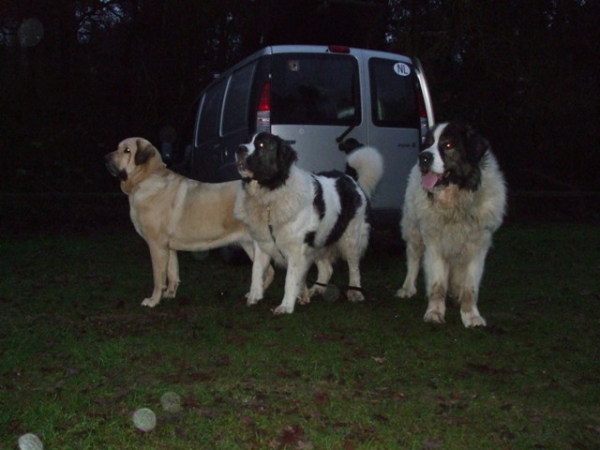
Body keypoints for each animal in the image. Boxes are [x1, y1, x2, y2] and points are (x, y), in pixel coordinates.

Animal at [234, 132, 384, 314]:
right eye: (248, 140)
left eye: (261, 145)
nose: (239, 148)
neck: (272, 192)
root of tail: (350, 178)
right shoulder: (263, 243)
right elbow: (256, 271)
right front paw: (254, 297)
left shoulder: (296, 248)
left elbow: (290, 279)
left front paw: (286, 306)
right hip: (319, 239)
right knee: (327, 269)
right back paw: (315, 290)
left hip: (351, 239)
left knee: (354, 267)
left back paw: (355, 292)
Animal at [398, 123, 506, 326]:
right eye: (428, 143)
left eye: (448, 144)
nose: (423, 156)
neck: (456, 203)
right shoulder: (435, 244)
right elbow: (437, 283)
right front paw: (434, 312)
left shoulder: (477, 247)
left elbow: (470, 287)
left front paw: (471, 315)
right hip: (413, 229)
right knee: (413, 258)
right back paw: (407, 288)